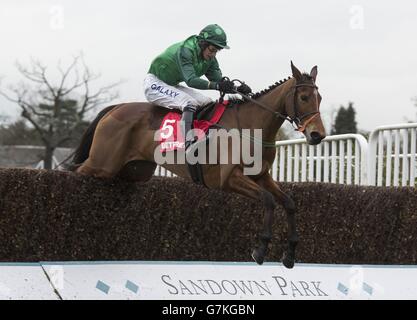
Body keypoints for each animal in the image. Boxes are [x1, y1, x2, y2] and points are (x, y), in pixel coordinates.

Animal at [68, 62, 324, 268]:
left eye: (319, 98)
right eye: (303, 97)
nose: (317, 135)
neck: (250, 126)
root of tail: (115, 108)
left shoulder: (262, 176)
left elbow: (289, 203)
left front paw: (289, 254)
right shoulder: (228, 178)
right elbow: (268, 200)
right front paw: (260, 250)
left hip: (133, 171)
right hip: (102, 164)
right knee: (76, 171)